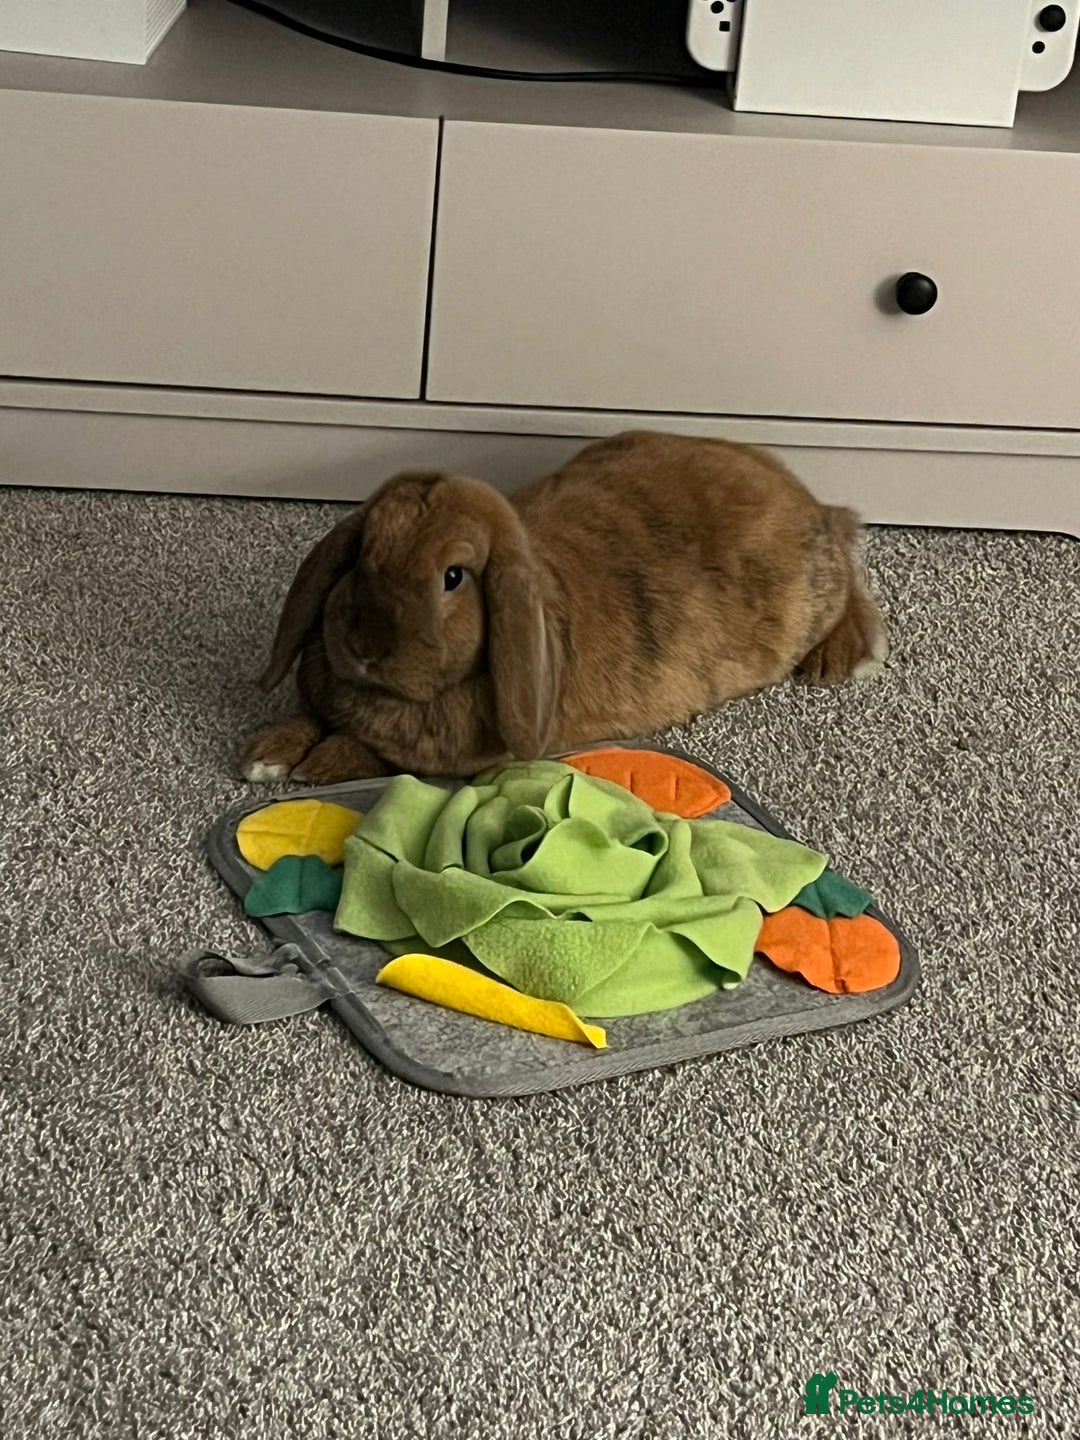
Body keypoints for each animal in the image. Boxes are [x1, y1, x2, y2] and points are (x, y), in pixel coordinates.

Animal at [242, 430, 887, 785]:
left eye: (453, 577)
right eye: (360, 555)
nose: (366, 647)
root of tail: (808, 502)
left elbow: (370, 755)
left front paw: (320, 766)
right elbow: (304, 718)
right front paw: (265, 756)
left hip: (805, 598)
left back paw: (842, 660)